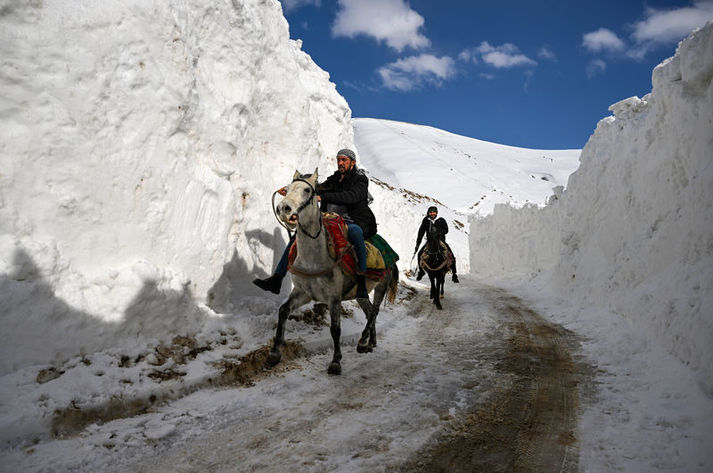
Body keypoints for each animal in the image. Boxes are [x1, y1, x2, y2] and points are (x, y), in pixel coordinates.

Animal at [266, 169, 399, 375]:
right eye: (286, 189)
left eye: (307, 190)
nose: (283, 208)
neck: (314, 258)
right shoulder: (303, 293)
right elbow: (283, 311)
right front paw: (274, 353)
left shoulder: (334, 297)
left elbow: (335, 329)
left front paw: (336, 362)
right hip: (360, 294)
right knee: (370, 311)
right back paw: (370, 343)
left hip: (381, 286)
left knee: (375, 311)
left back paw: (362, 342)